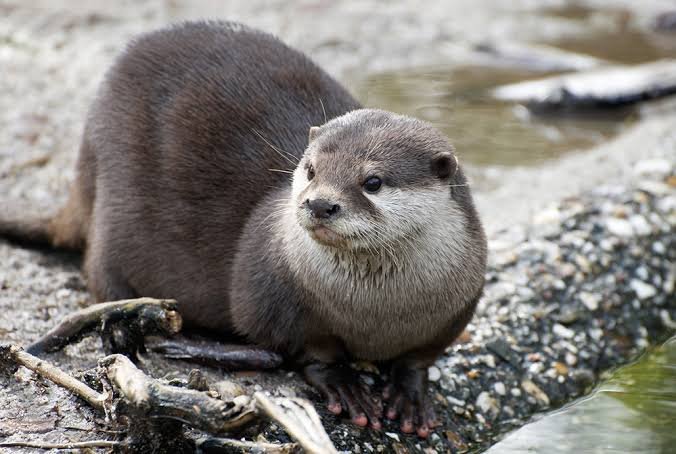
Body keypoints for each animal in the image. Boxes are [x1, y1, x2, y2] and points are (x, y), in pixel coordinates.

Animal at [0, 21, 486, 437]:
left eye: (373, 182)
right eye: (310, 169)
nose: (318, 203)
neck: (375, 311)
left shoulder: (457, 307)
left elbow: (420, 358)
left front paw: (409, 393)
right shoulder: (272, 290)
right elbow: (305, 349)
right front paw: (344, 383)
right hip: (112, 213)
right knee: (106, 283)